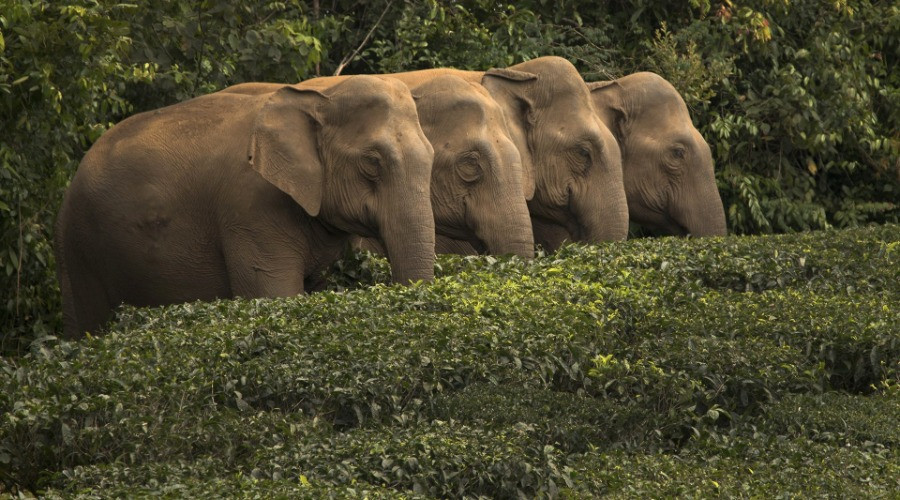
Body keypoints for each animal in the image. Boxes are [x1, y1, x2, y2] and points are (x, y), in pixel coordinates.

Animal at [55, 76, 436, 338]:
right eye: (372, 162)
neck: (319, 97)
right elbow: (276, 299)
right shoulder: (251, 211)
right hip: (78, 249)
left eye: (432, 156)